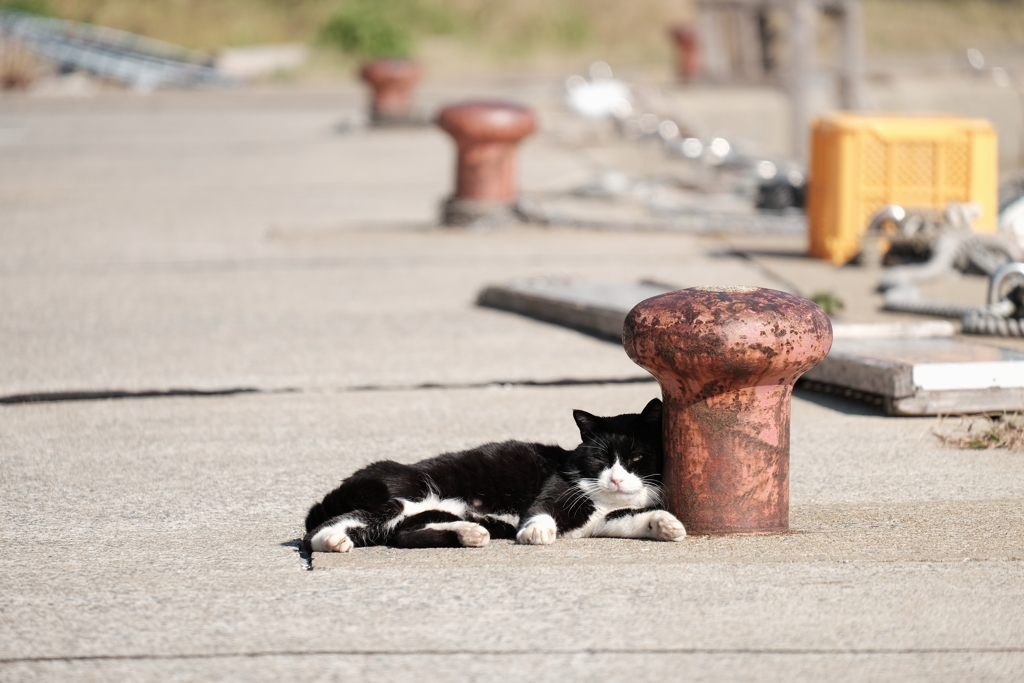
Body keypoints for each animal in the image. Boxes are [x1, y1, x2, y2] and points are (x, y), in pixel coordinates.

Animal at [303, 397, 688, 552]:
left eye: (637, 457)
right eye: (600, 459)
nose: (617, 479)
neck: (604, 500)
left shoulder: (605, 521)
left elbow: (633, 519)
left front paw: (668, 525)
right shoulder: (557, 490)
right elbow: (540, 510)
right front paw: (535, 533)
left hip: (426, 511)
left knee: (402, 534)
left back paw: (469, 533)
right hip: (404, 492)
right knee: (328, 527)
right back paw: (331, 542)